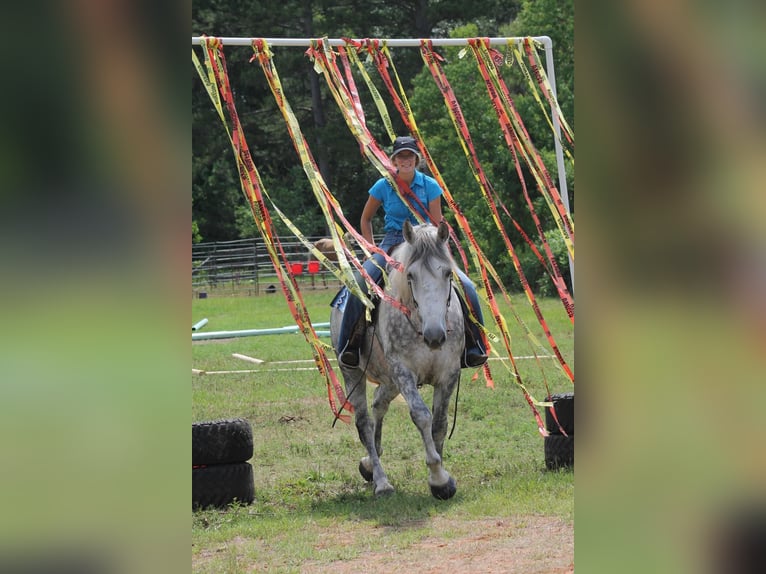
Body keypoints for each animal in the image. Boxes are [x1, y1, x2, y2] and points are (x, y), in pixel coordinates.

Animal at [328, 220, 462, 500]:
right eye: (410, 276)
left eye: (447, 273)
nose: (435, 336)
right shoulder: (404, 372)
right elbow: (421, 416)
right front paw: (438, 478)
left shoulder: (449, 374)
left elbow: (439, 424)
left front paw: (442, 477)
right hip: (353, 374)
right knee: (364, 423)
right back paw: (381, 481)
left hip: (389, 381)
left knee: (379, 404)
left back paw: (370, 463)